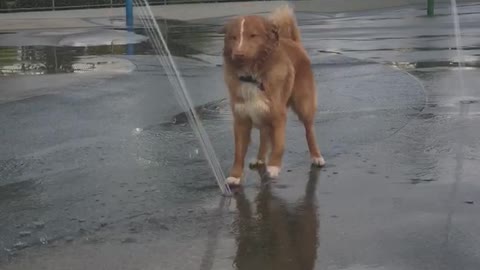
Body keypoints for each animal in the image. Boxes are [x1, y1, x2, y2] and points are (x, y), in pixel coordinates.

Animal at [222, 5, 326, 186]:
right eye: (233, 37)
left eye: (253, 35)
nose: (238, 54)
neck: (252, 76)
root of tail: (294, 42)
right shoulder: (241, 120)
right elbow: (238, 152)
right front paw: (235, 175)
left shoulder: (278, 115)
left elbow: (279, 144)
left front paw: (274, 166)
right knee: (264, 134)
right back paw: (260, 158)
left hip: (303, 105)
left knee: (309, 130)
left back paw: (316, 156)